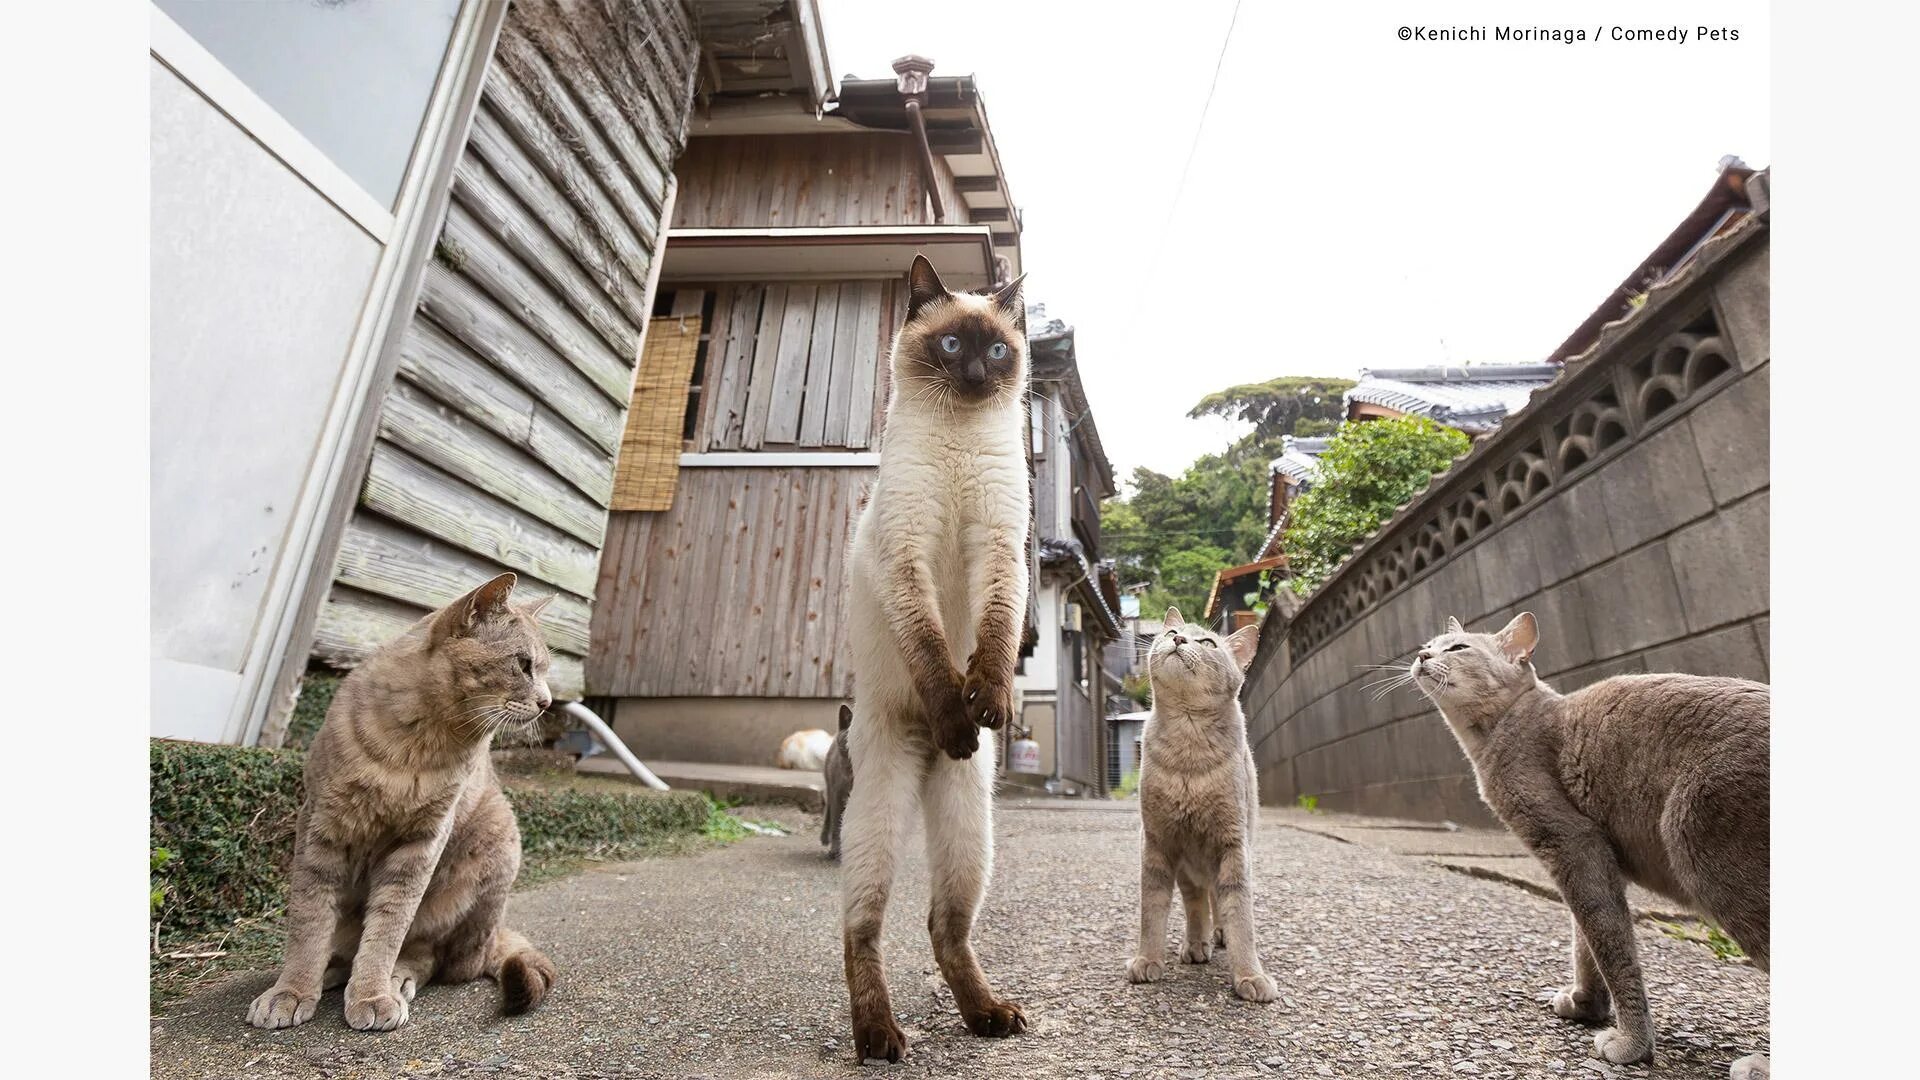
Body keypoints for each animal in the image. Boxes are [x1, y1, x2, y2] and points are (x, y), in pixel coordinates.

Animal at [245, 568, 556, 1030]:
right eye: (523, 664)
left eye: (544, 669)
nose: (547, 702)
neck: (419, 745)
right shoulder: (321, 828)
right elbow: (309, 922)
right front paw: (293, 990)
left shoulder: (421, 842)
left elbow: (389, 927)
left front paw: (373, 993)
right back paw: (333, 971)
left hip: (495, 850)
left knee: (434, 958)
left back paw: (395, 978)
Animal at [1121, 607, 1274, 999]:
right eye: (1171, 633)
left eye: (1207, 642)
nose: (1177, 639)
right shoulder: (1157, 842)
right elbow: (1152, 912)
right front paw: (1147, 959)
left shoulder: (1233, 845)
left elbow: (1240, 915)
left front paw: (1249, 975)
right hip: (1188, 867)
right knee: (1196, 904)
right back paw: (1195, 943)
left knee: (1218, 901)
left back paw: (1217, 935)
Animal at [1413, 611, 1766, 1068]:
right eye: (1428, 645)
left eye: (1457, 648)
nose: (1422, 655)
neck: (1497, 731)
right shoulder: (1597, 855)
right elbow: (1586, 937)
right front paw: (1584, 1004)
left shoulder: (1572, 841)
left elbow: (1608, 943)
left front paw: (1631, 1043)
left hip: (1709, 853)